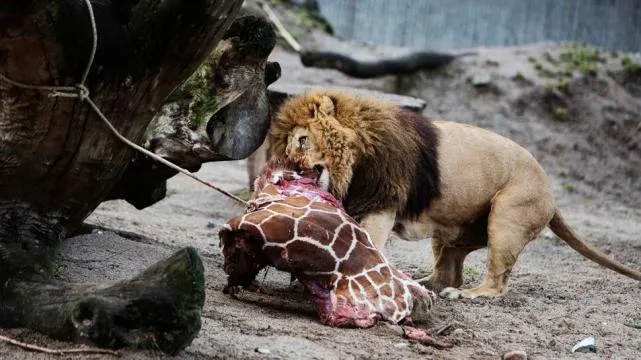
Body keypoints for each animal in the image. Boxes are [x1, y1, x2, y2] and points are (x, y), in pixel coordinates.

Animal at [268, 88, 640, 300]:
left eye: (302, 140)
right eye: (286, 148)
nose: (291, 166)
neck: (355, 158)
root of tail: (551, 190)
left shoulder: (382, 203)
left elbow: (368, 244)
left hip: (508, 217)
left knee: (497, 282)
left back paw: (470, 295)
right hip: (452, 233)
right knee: (448, 272)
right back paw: (425, 283)